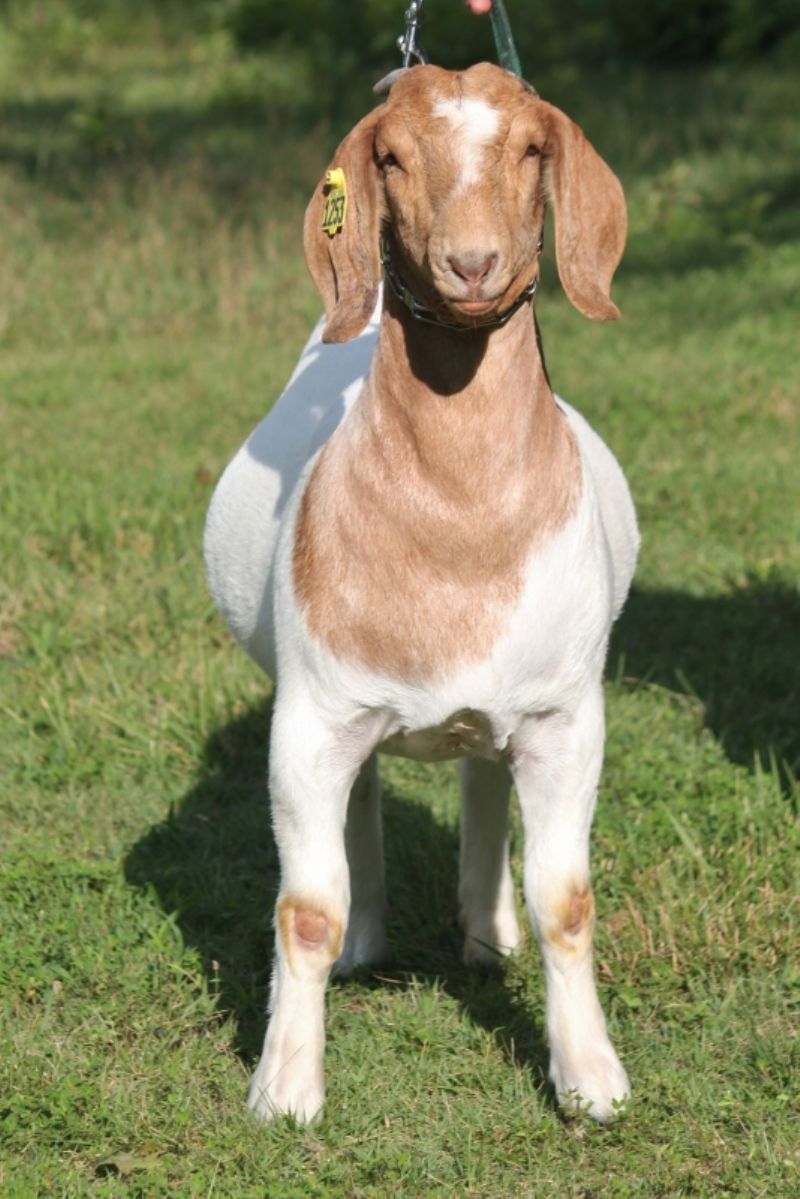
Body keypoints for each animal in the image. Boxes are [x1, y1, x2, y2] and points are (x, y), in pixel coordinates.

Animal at [204, 62, 638, 1125]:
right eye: (392, 156)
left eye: (532, 148)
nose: (472, 265)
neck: (460, 535)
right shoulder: (311, 717)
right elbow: (304, 907)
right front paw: (285, 1089)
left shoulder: (566, 715)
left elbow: (567, 901)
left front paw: (591, 1079)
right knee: (364, 797)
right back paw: (370, 941)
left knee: (484, 776)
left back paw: (486, 933)